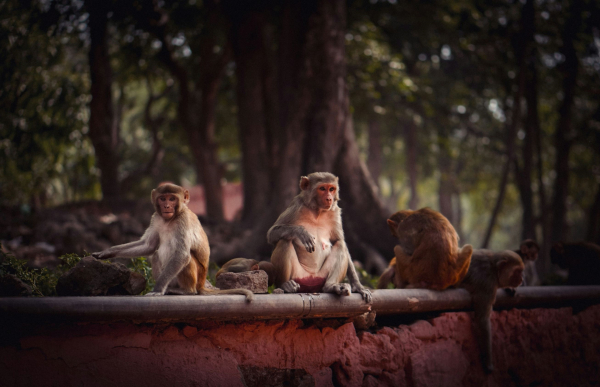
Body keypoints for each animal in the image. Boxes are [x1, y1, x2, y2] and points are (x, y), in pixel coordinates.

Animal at [91, 183, 253, 302]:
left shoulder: (183, 221)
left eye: (172, 199)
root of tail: (202, 284)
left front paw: (157, 289)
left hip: (196, 277)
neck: (170, 219)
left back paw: (186, 291)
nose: (167, 206)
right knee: (156, 254)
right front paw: (108, 252)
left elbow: (181, 254)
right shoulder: (156, 218)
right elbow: (149, 246)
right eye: (163, 199)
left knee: (187, 258)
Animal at [266, 172, 370, 304]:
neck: (317, 211)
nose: (329, 198)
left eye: (331, 189)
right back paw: (285, 285)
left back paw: (331, 286)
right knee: (285, 241)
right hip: (298, 276)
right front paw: (301, 232)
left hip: (321, 278)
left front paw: (358, 286)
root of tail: (311, 284)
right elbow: (272, 234)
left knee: (340, 245)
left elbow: (338, 240)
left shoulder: (335, 212)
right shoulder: (296, 206)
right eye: (322, 188)